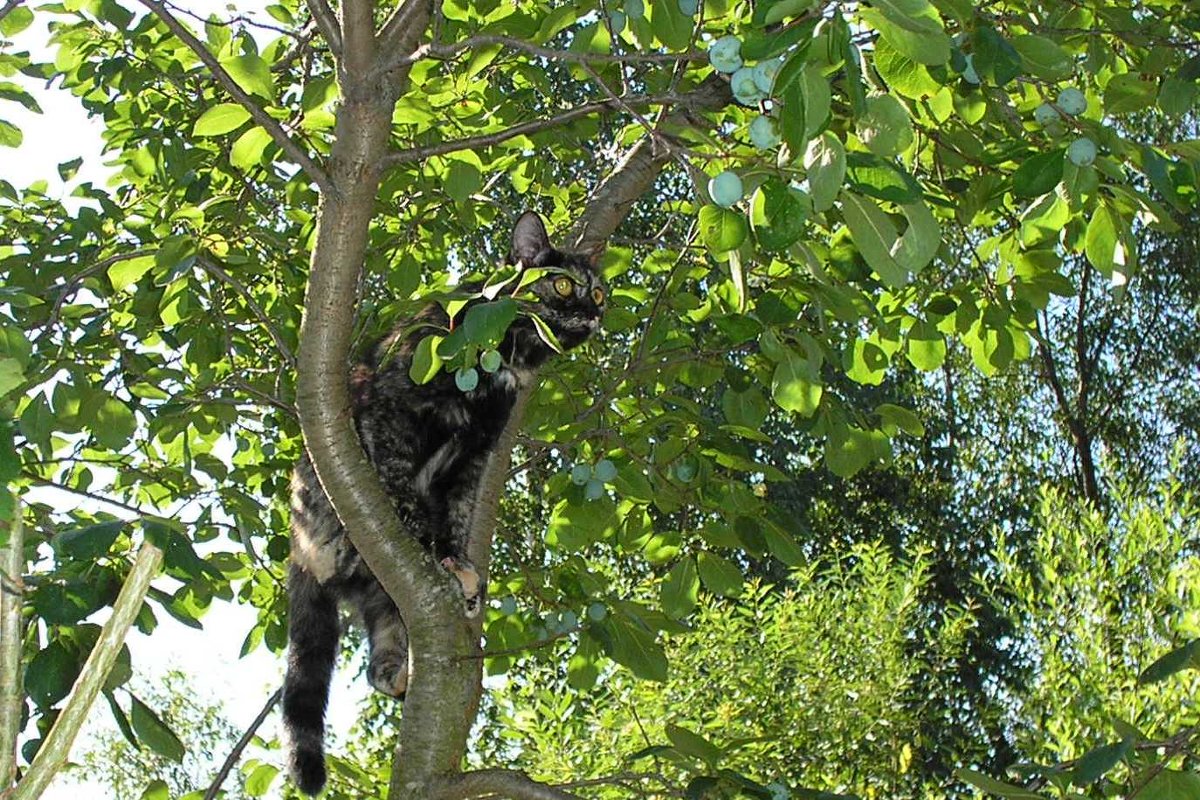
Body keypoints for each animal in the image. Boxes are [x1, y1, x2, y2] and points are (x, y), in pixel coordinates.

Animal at [283, 211, 609, 796]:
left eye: (598, 292)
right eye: (562, 285)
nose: (591, 313)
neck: (505, 358)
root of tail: (297, 552)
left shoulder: (474, 459)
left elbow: (455, 518)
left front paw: (459, 563)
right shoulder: (395, 417)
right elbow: (404, 494)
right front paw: (430, 553)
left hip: (384, 604)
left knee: (379, 660)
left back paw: (402, 673)